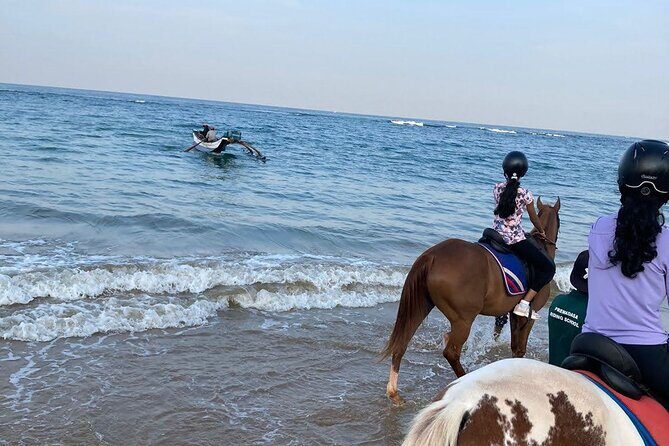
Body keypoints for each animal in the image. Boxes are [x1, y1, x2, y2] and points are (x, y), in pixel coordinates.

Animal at [381, 198, 560, 405]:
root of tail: (432, 256)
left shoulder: (512, 314)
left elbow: (514, 346)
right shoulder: (528, 316)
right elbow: (520, 349)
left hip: (421, 307)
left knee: (402, 343)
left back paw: (394, 392)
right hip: (463, 320)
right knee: (451, 352)